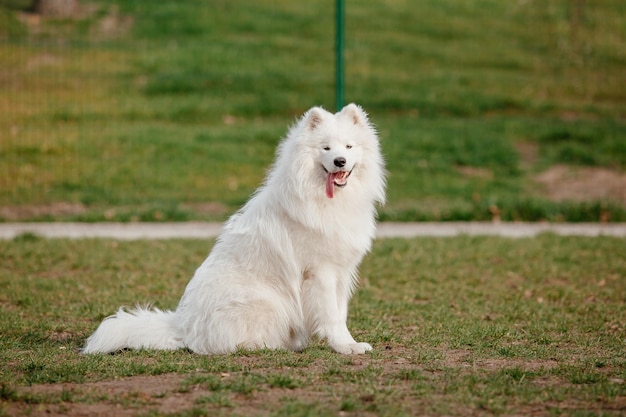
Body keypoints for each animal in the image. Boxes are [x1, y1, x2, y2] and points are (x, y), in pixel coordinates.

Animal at [81, 104, 386, 354]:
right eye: (326, 148)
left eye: (348, 147)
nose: (339, 162)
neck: (327, 200)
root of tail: (181, 328)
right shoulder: (320, 272)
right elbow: (332, 316)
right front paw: (345, 347)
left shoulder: (341, 272)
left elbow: (340, 312)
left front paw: (348, 343)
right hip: (265, 302)